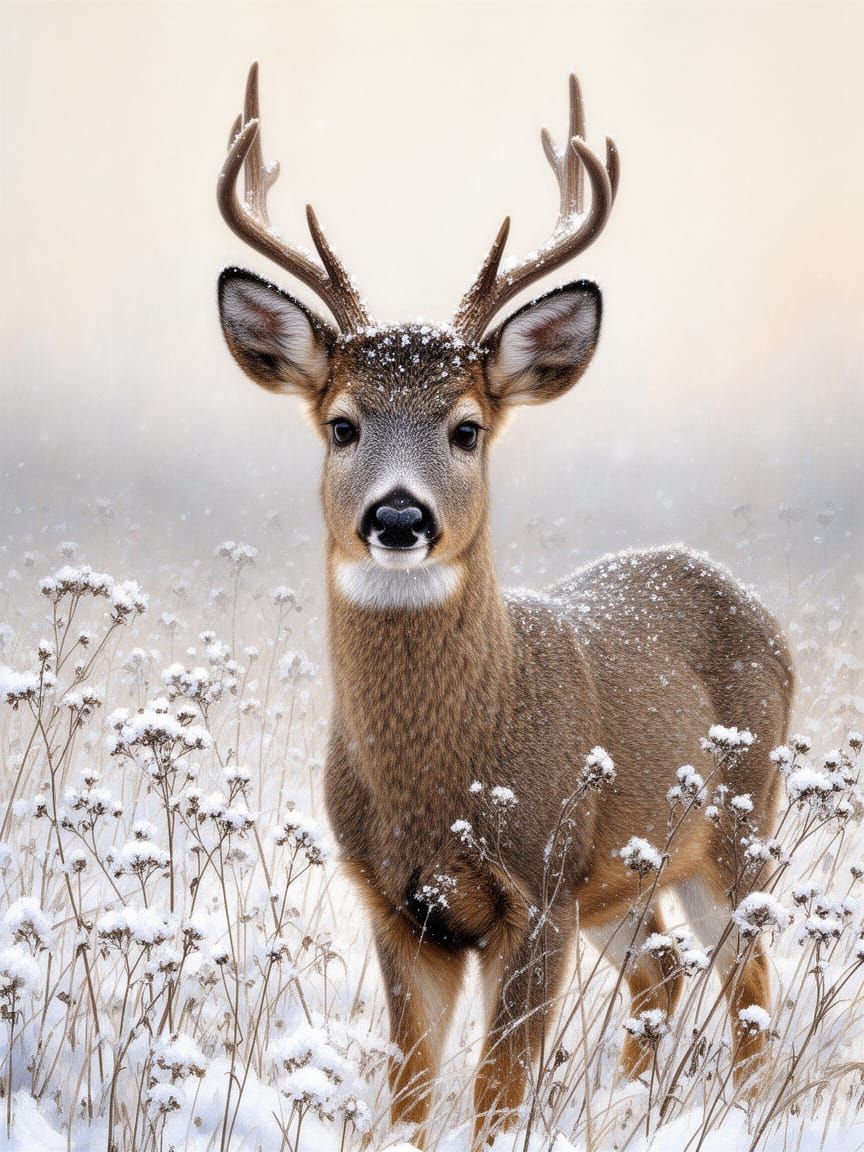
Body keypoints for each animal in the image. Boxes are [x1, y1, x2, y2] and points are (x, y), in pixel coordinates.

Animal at [216, 63, 794, 1148]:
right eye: (343, 424)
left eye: (468, 428)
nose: (400, 516)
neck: (442, 777)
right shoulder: (398, 907)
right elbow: (407, 1094)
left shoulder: (540, 887)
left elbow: (494, 1093)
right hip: (626, 877)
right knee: (666, 969)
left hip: (735, 831)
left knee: (751, 985)